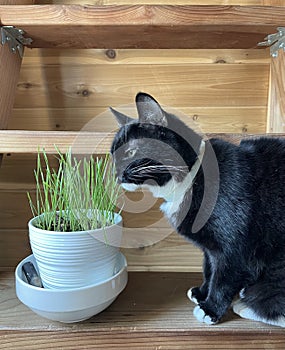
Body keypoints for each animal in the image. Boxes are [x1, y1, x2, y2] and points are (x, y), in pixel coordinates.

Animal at [110, 91, 284, 326]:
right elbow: (208, 267)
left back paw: (247, 304)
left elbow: (223, 277)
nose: (116, 175)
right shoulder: (210, 248)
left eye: (130, 152)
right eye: (112, 154)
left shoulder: (233, 246)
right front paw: (202, 293)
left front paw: (210, 308)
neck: (192, 176)